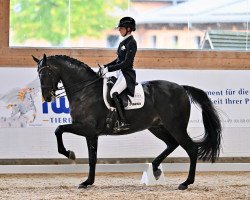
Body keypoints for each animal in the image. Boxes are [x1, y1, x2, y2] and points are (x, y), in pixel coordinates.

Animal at [32, 54, 221, 190]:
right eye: (38, 74)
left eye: (46, 73)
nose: (47, 97)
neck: (85, 91)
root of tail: (182, 87)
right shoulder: (91, 134)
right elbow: (92, 158)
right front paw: (87, 182)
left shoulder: (87, 128)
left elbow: (59, 129)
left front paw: (69, 153)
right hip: (157, 127)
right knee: (172, 144)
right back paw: (155, 168)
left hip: (176, 126)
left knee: (191, 149)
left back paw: (185, 183)